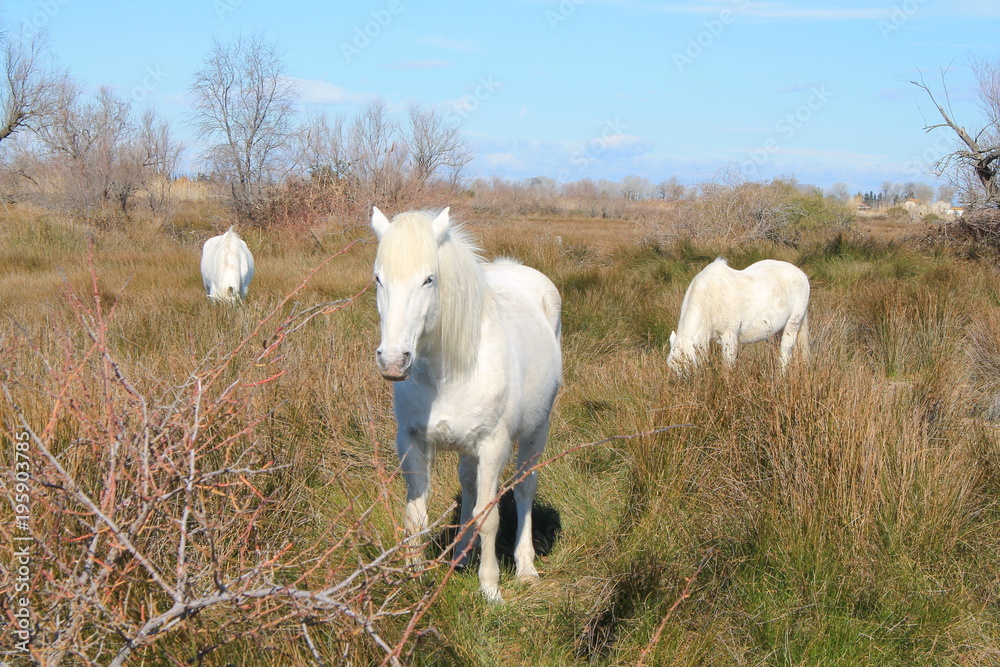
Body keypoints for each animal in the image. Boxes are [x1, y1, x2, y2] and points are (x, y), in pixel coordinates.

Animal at [371, 206, 562, 602]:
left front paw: (490, 589)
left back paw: (525, 567)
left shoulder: (493, 445)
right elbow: (416, 515)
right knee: (471, 486)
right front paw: (413, 580)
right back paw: (460, 556)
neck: (449, 371)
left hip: (537, 431)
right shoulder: (412, 441)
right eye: (379, 278)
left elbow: (489, 517)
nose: (393, 361)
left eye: (428, 279)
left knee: (524, 490)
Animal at [667, 257, 810, 372]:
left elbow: (728, 367)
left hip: (792, 324)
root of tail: (801, 273)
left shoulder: (729, 337)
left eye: (690, 368)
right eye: (672, 369)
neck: (713, 296)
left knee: (785, 352)